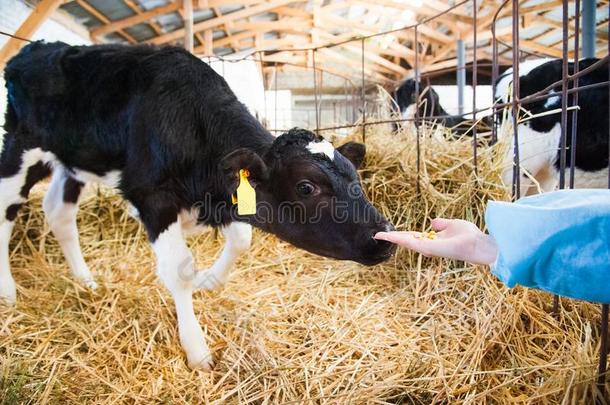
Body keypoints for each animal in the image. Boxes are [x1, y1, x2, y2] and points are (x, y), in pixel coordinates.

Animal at [1, 41, 394, 370]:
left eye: (355, 178)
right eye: (306, 186)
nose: (385, 236)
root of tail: (35, 49)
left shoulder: (225, 197)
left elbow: (241, 240)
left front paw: (210, 281)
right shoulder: (152, 196)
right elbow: (179, 270)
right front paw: (197, 351)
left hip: (73, 161)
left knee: (59, 211)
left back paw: (85, 282)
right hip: (21, 146)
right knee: (7, 208)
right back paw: (8, 293)